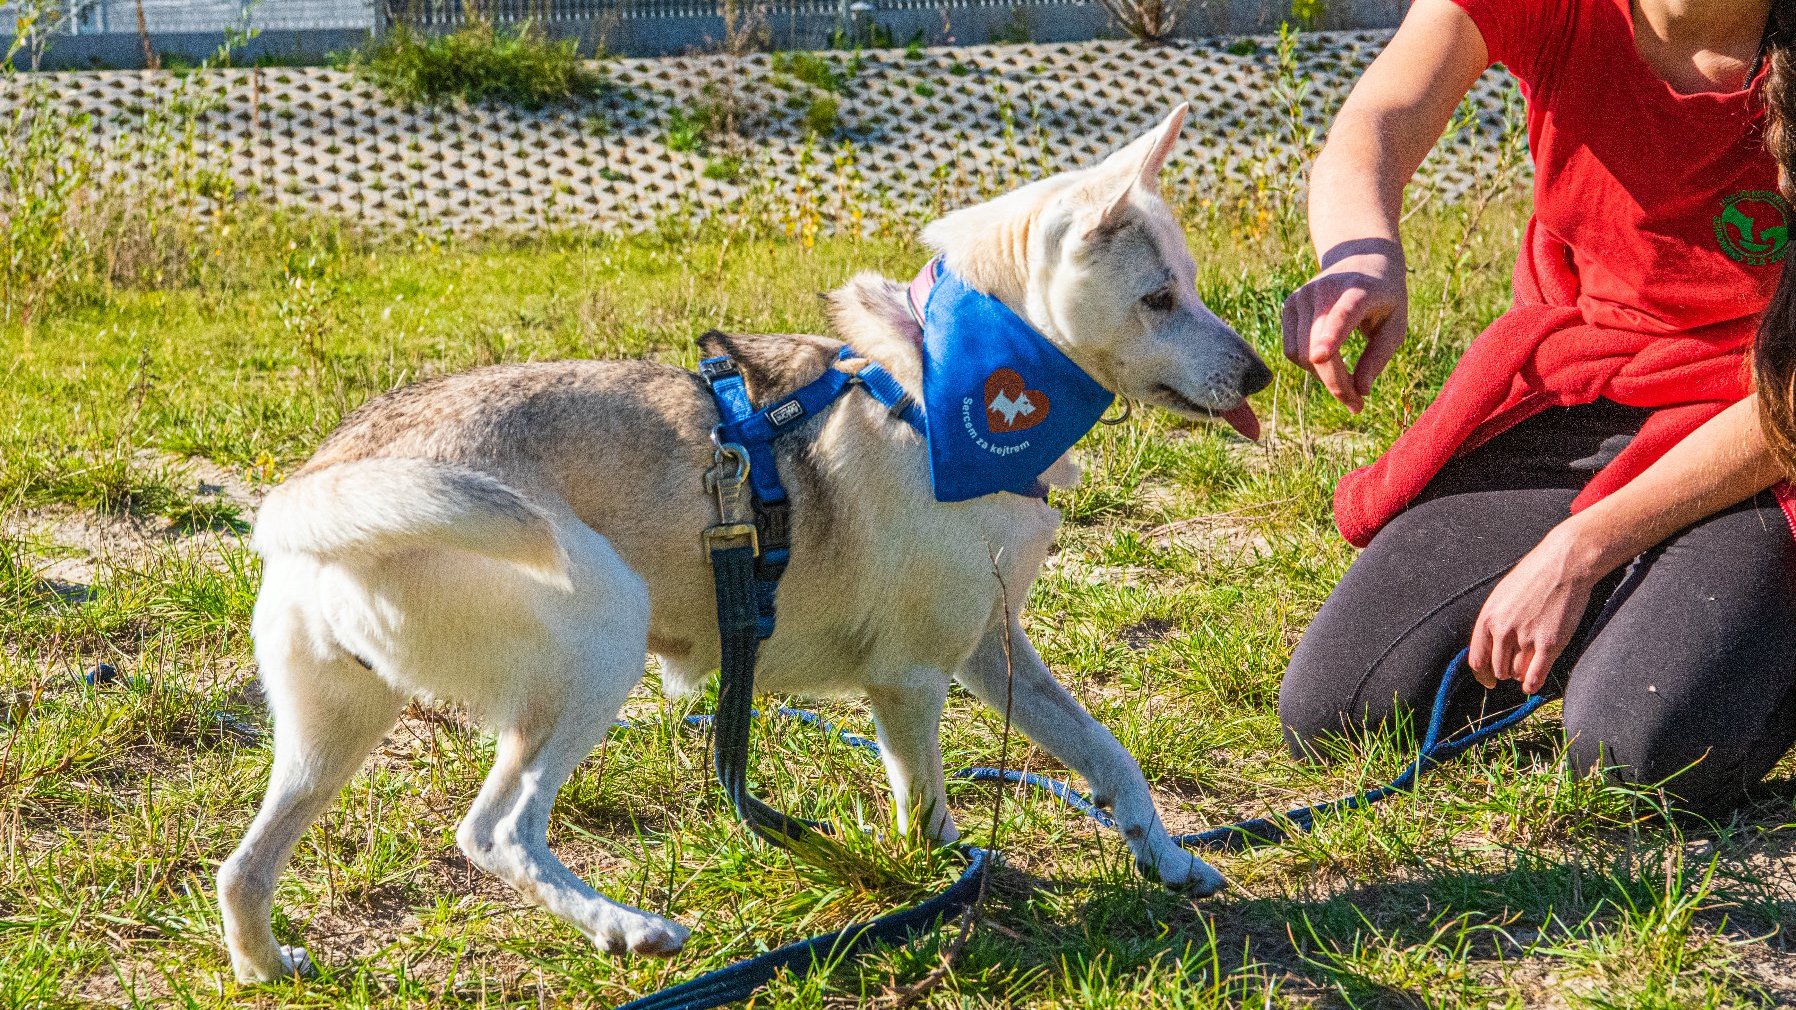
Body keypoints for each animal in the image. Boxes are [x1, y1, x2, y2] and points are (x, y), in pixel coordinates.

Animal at [217, 106, 1271, 977]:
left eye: (1187, 287)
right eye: (1160, 299)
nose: (1263, 373)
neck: (950, 389)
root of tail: (325, 482)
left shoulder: (990, 648)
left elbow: (1107, 753)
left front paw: (1167, 858)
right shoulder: (912, 681)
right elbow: (927, 807)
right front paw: (948, 880)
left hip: (331, 731)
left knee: (244, 867)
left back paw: (269, 966)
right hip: (596, 653)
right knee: (497, 832)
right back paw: (625, 927)